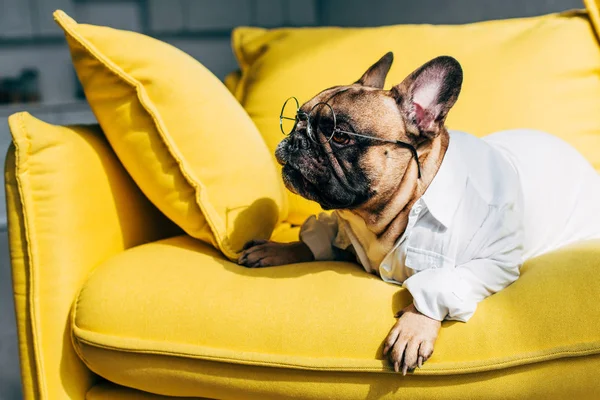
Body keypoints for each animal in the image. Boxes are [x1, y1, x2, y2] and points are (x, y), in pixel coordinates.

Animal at [237, 52, 600, 376]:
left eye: (339, 136)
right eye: (295, 118)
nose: (297, 137)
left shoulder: (496, 261)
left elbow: (438, 283)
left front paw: (414, 327)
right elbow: (316, 238)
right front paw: (276, 249)